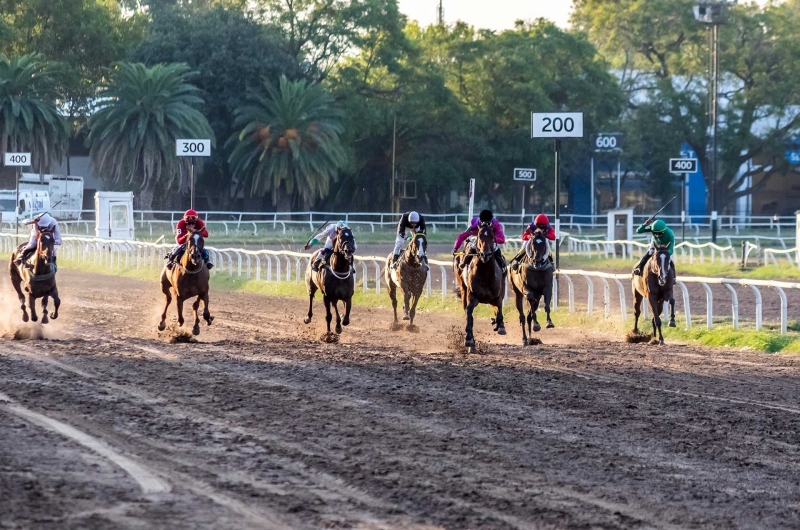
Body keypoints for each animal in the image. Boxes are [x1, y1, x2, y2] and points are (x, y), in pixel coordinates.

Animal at [454, 221, 504, 352]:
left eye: (492, 236)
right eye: (480, 236)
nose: (485, 255)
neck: (485, 273)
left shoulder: (497, 295)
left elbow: (499, 308)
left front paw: (500, 325)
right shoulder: (472, 296)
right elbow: (469, 314)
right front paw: (469, 340)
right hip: (463, 288)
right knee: (468, 313)